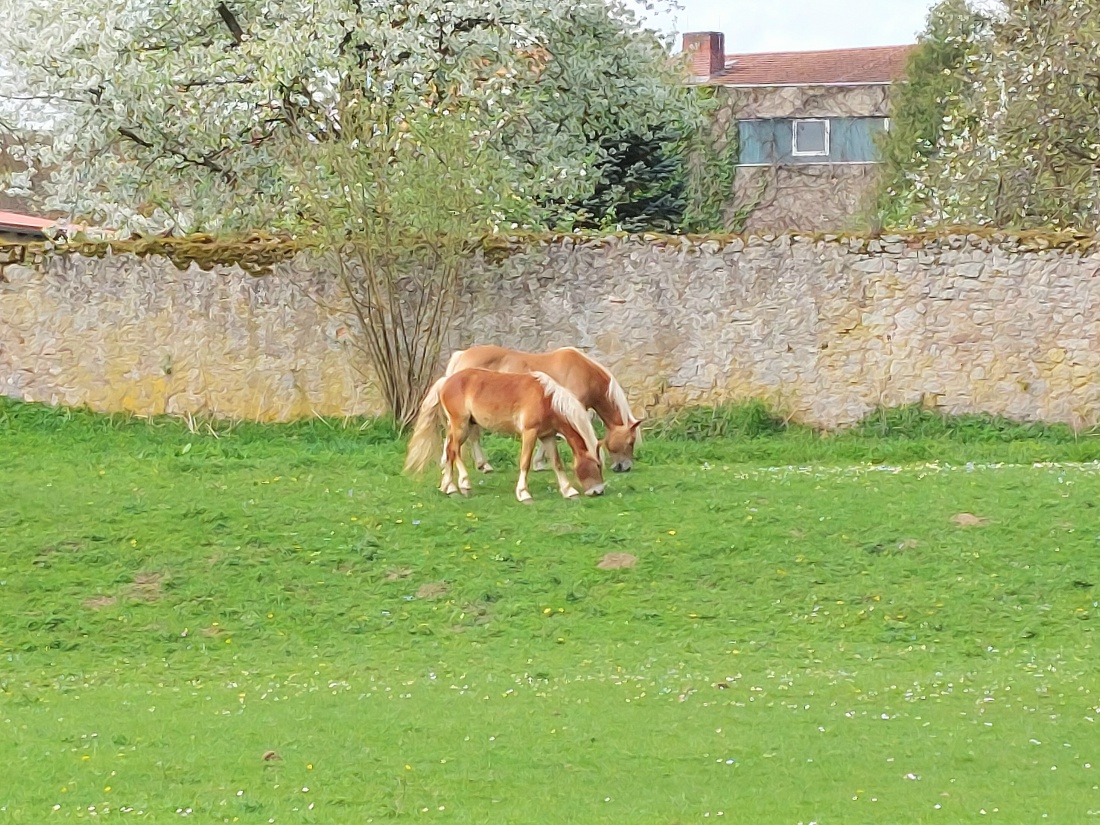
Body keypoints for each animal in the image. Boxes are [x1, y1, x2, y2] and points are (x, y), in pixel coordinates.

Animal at [407, 369, 607, 503]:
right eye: (597, 465)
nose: (598, 491)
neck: (547, 398)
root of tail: (446, 380)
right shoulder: (530, 433)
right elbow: (525, 462)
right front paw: (523, 493)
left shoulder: (548, 436)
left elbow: (557, 463)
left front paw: (568, 491)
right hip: (460, 426)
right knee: (454, 450)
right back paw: (463, 485)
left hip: (461, 427)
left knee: (449, 450)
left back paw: (449, 487)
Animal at [442, 347, 642, 475]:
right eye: (630, 442)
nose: (624, 467)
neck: (583, 371)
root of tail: (461, 355)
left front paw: (539, 463)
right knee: (472, 436)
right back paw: (483, 465)